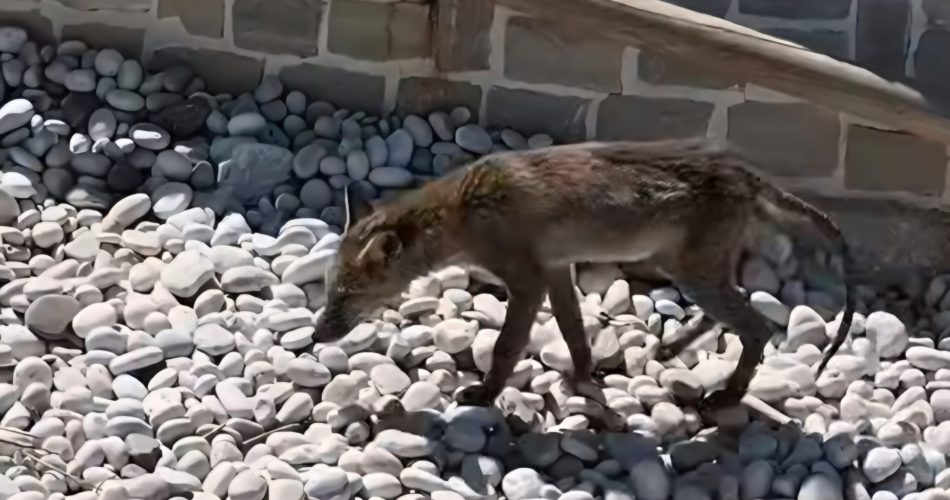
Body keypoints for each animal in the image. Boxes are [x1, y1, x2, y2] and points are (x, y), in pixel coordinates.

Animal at [312, 139, 856, 417]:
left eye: (348, 295)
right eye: (328, 290)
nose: (316, 336)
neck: (464, 212)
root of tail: (746, 173)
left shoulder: (527, 280)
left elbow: (507, 348)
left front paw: (485, 395)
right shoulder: (557, 271)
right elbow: (575, 333)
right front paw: (582, 379)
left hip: (694, 274)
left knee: (759, 327)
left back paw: (728, 395)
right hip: (691, 271)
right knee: (738, 309)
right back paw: (672, 349)